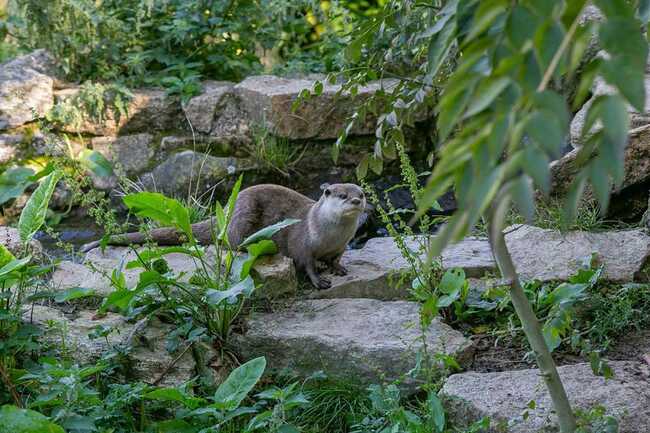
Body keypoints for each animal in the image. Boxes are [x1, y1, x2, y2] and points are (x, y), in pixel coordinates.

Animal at [80, 181, 364, 288]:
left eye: (360, 192)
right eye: (342, 195)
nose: (357, 201)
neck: (329, 236)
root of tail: (226, 209)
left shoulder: (341, 246)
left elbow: (336, 258)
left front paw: (338, 268)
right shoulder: (303, 242)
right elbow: (306, 263)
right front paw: (319, 280)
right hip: (242, 218)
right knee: (231, 244)